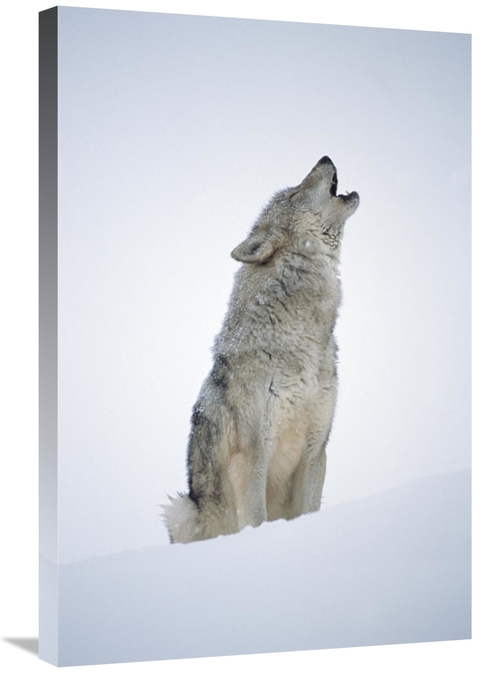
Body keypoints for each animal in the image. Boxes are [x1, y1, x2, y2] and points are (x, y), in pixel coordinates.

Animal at [163, 156, 359, 543]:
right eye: (295, 193)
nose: (325, 157)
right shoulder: (252, 455)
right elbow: (255, 517)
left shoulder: (316, 450)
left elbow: (309, 510)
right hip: (181, 509)